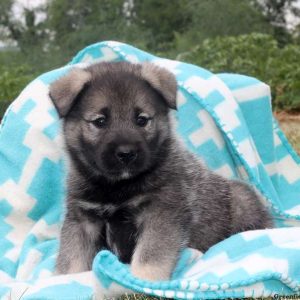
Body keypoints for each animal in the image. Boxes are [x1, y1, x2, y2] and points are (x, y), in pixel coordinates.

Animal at [49, 61, 272, 282]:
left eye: (141, 120)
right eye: (100, 121)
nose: (126, 153)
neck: (117, 186)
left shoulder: (160, 214)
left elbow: (150, 256)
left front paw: (141, 280)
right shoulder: (82, 220)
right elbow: (72, 258)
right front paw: (64, 280)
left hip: (242, 201)